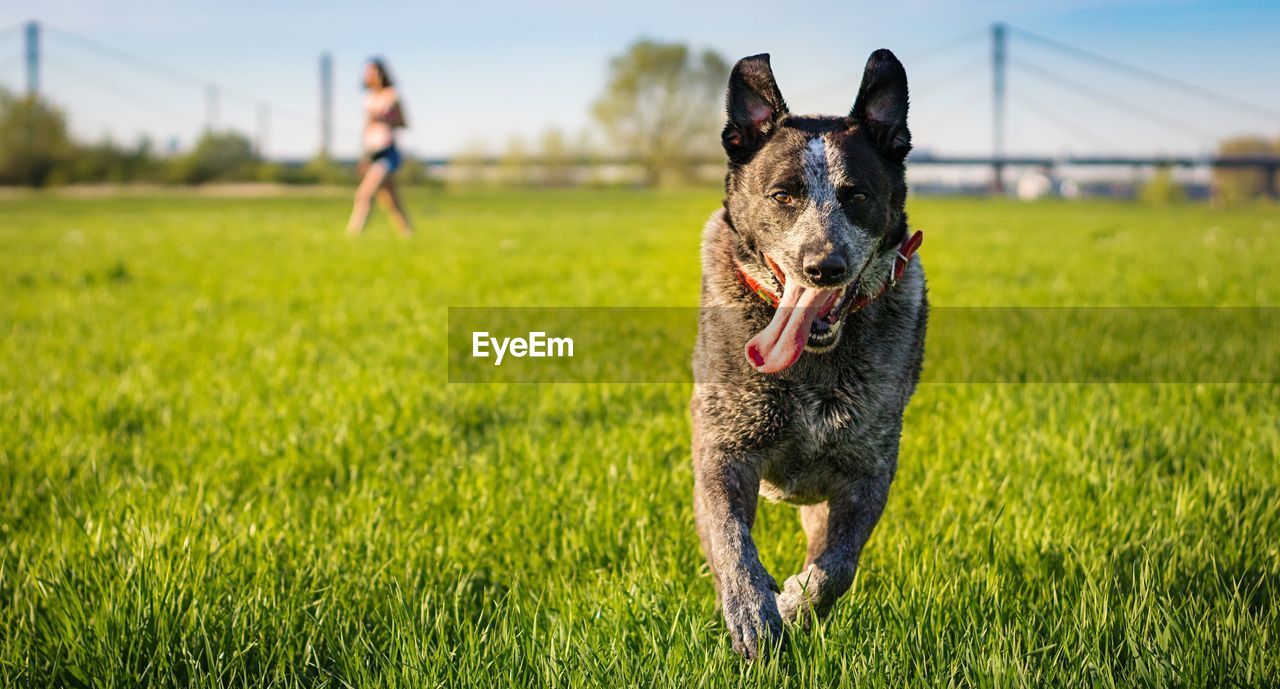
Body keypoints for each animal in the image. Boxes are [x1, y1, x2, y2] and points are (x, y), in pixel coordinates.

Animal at [691, 50, 931, 655]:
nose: (824, 266)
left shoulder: (867, 470)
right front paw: (753, 613)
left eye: (857, 196)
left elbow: (837, 567)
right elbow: (730, 539)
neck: (812, 364)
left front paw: (794, 605)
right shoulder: (723, 448)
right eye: (784, 195)